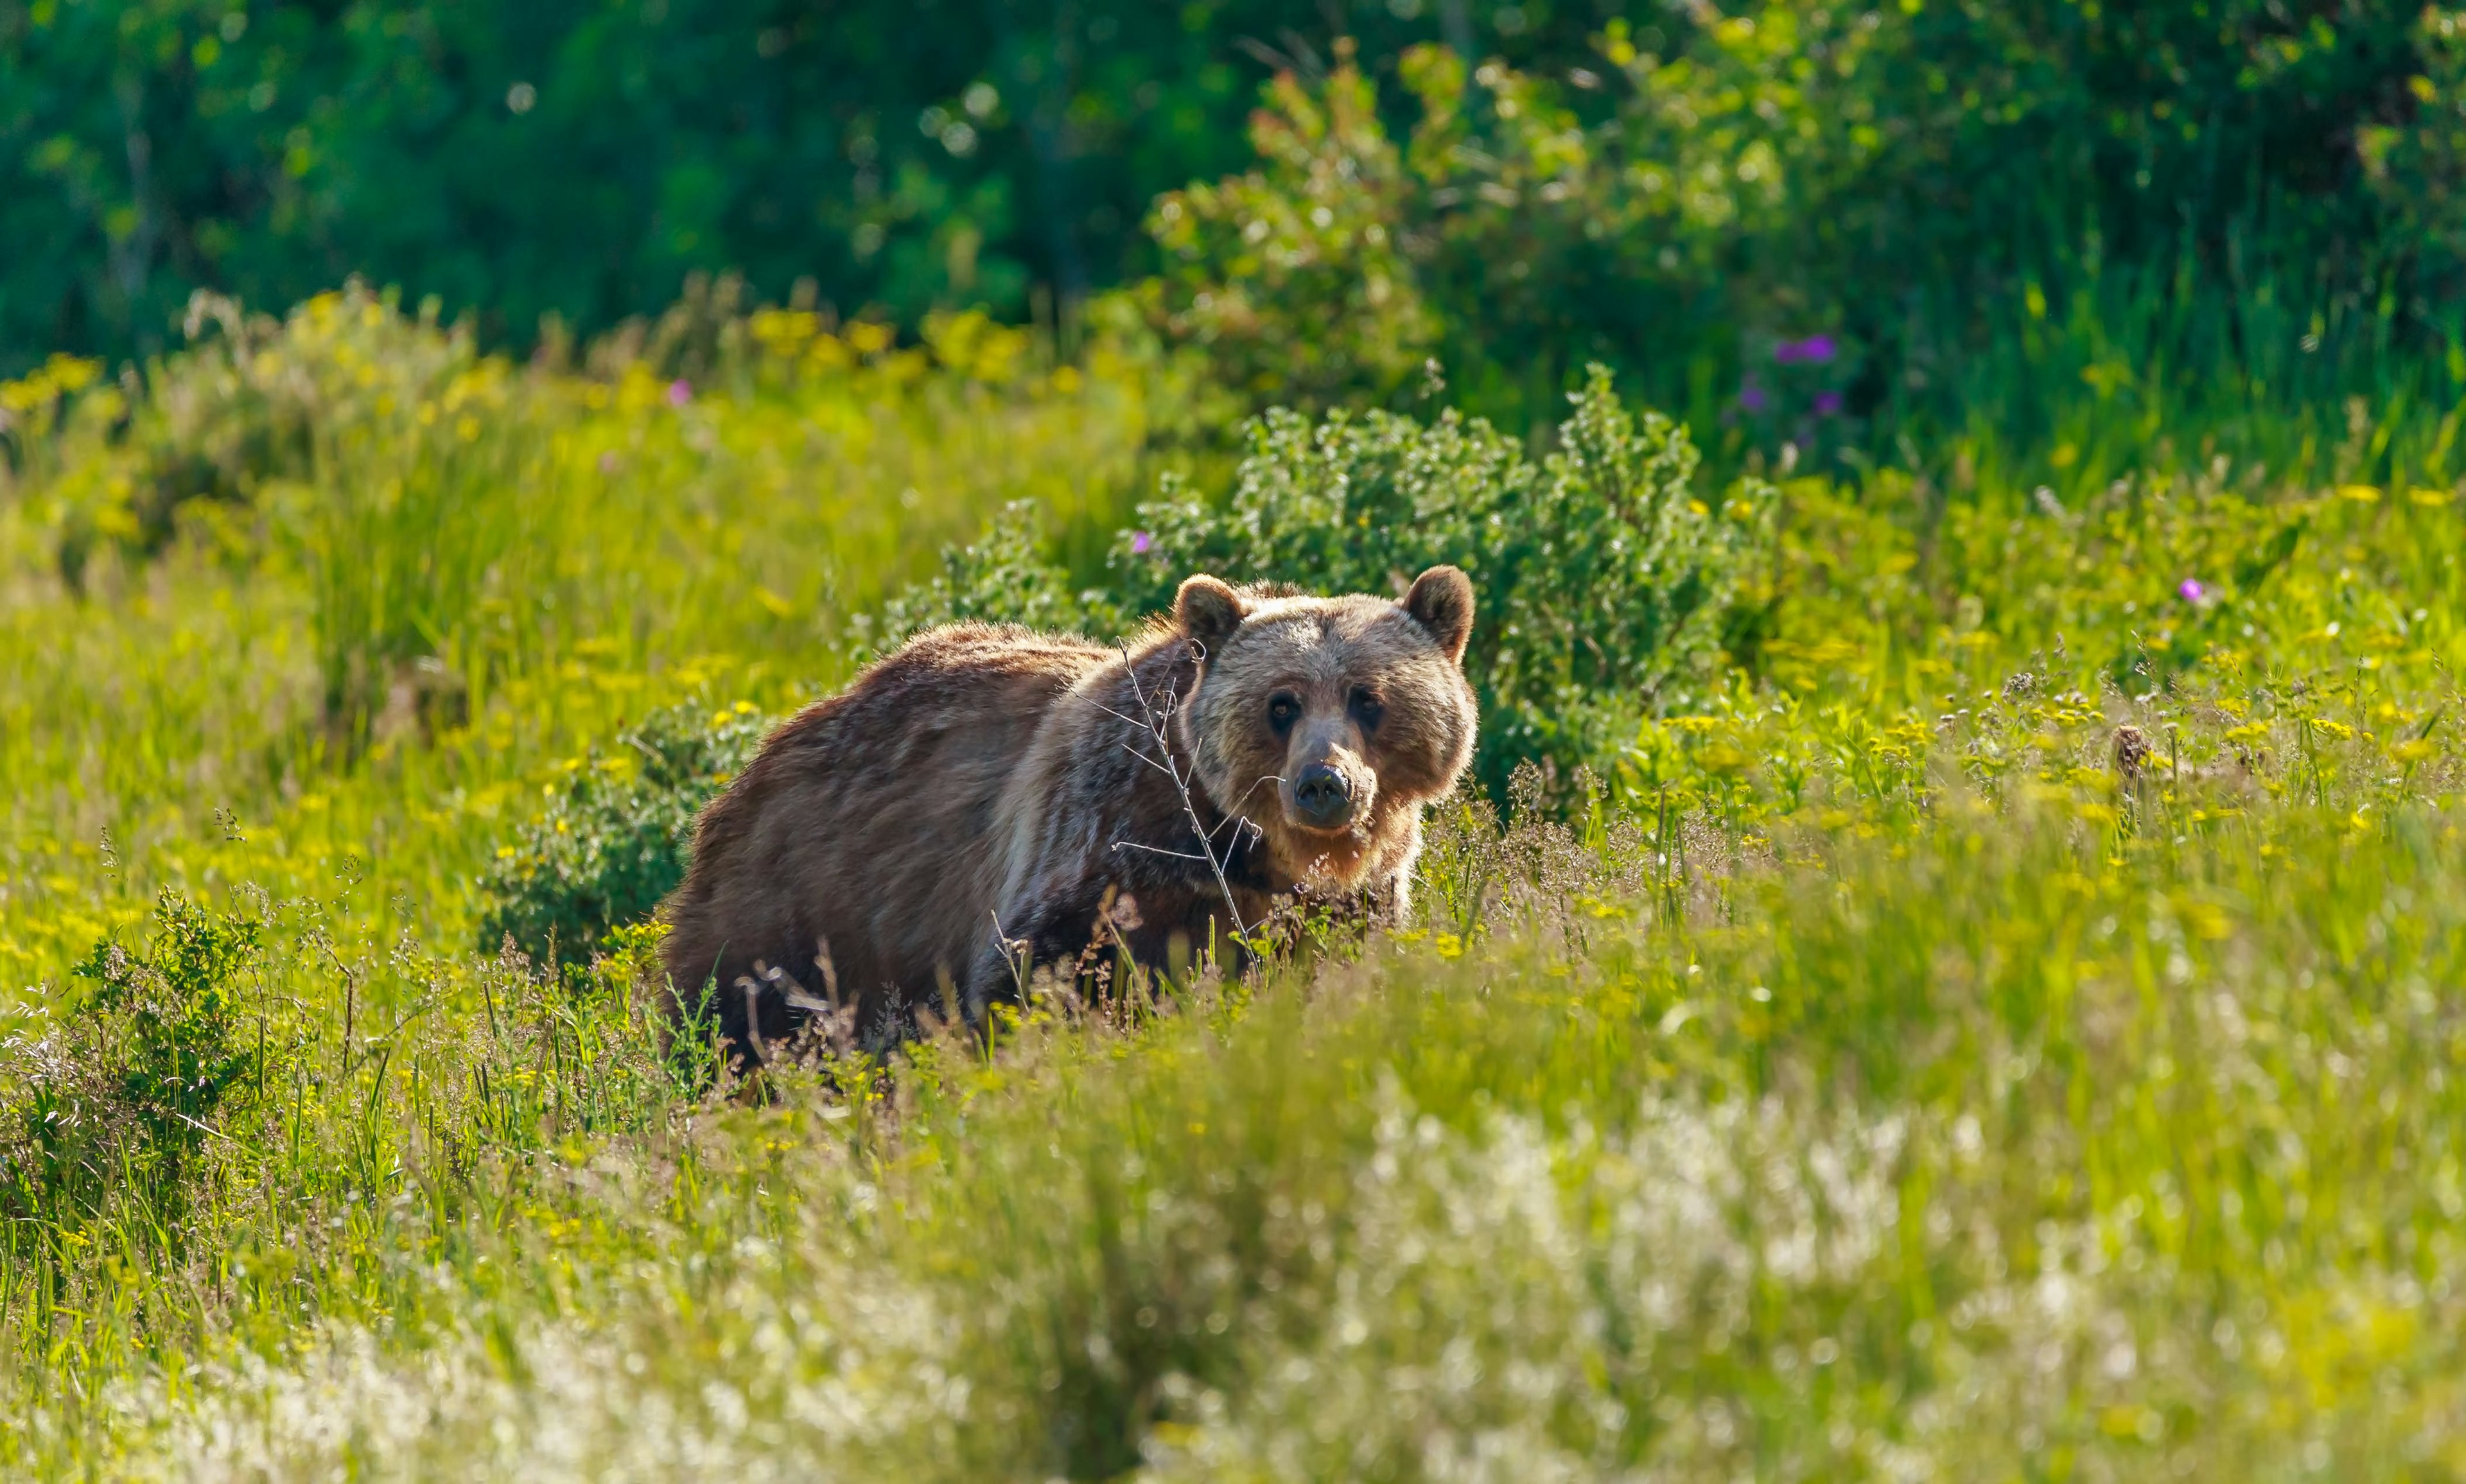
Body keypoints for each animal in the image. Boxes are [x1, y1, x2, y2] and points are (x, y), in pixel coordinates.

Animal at [656, 559, 1480, 1055]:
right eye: (1282, 703)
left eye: (1368, 697)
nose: (1323, 784)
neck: (1238, 847)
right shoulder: (1108, 845)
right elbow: (1038, 972)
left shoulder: (1344, 902)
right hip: (810, 899)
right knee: (744, 1015)